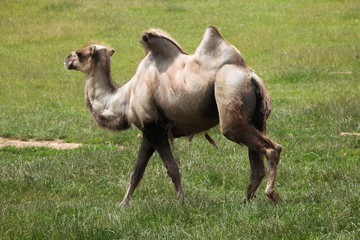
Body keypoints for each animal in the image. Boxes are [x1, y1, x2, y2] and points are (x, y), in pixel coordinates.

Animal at [65, 26, 284, 206]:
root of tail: (251, 76)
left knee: (270, 148)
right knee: (257, 163)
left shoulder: (155, 128)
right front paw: (123, 204)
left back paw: (271, 194)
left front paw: (181, 203)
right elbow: (137, 172)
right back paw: (245, 201)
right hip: (255, 116)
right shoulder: (148, 132)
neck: (124, 97)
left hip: (230, 97)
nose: (67, 59)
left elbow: (172, 168)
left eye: (81, 54)